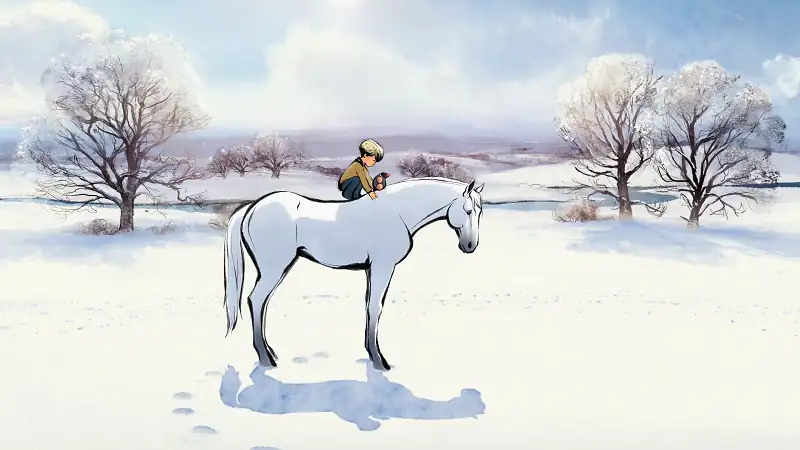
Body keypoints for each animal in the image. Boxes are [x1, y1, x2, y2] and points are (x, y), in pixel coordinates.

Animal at [223, 177, 485, 371]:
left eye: (480, 211)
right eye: (468, 210)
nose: (470, 245)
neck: (397, 212)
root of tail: (251, 207)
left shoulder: (372, 269)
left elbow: (370, 306)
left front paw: (371, 353)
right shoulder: (382, 267)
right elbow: (376, 307)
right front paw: (380, 361)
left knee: (261, 303)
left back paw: (270, 352)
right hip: (274, 268)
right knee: (257, 300)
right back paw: (266, 359)